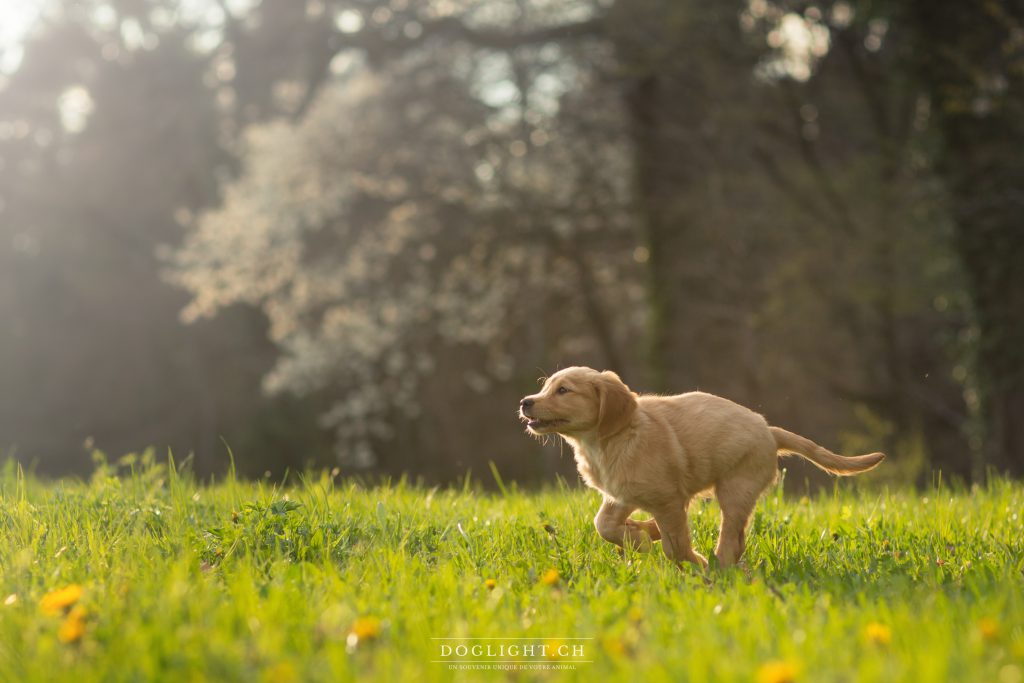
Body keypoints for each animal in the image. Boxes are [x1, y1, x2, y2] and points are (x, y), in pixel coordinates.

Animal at [516, 366, 884, 569]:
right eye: (546, 387)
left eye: (563, 390)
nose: (525, 402)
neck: (608, 439)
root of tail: (769, 429)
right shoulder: (621, 495)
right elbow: (603, 525)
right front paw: (639, 537)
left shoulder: (667, 499)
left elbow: (676, 547)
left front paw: (691, 564)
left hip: (736, 488)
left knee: (731, 539)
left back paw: (718, 569)